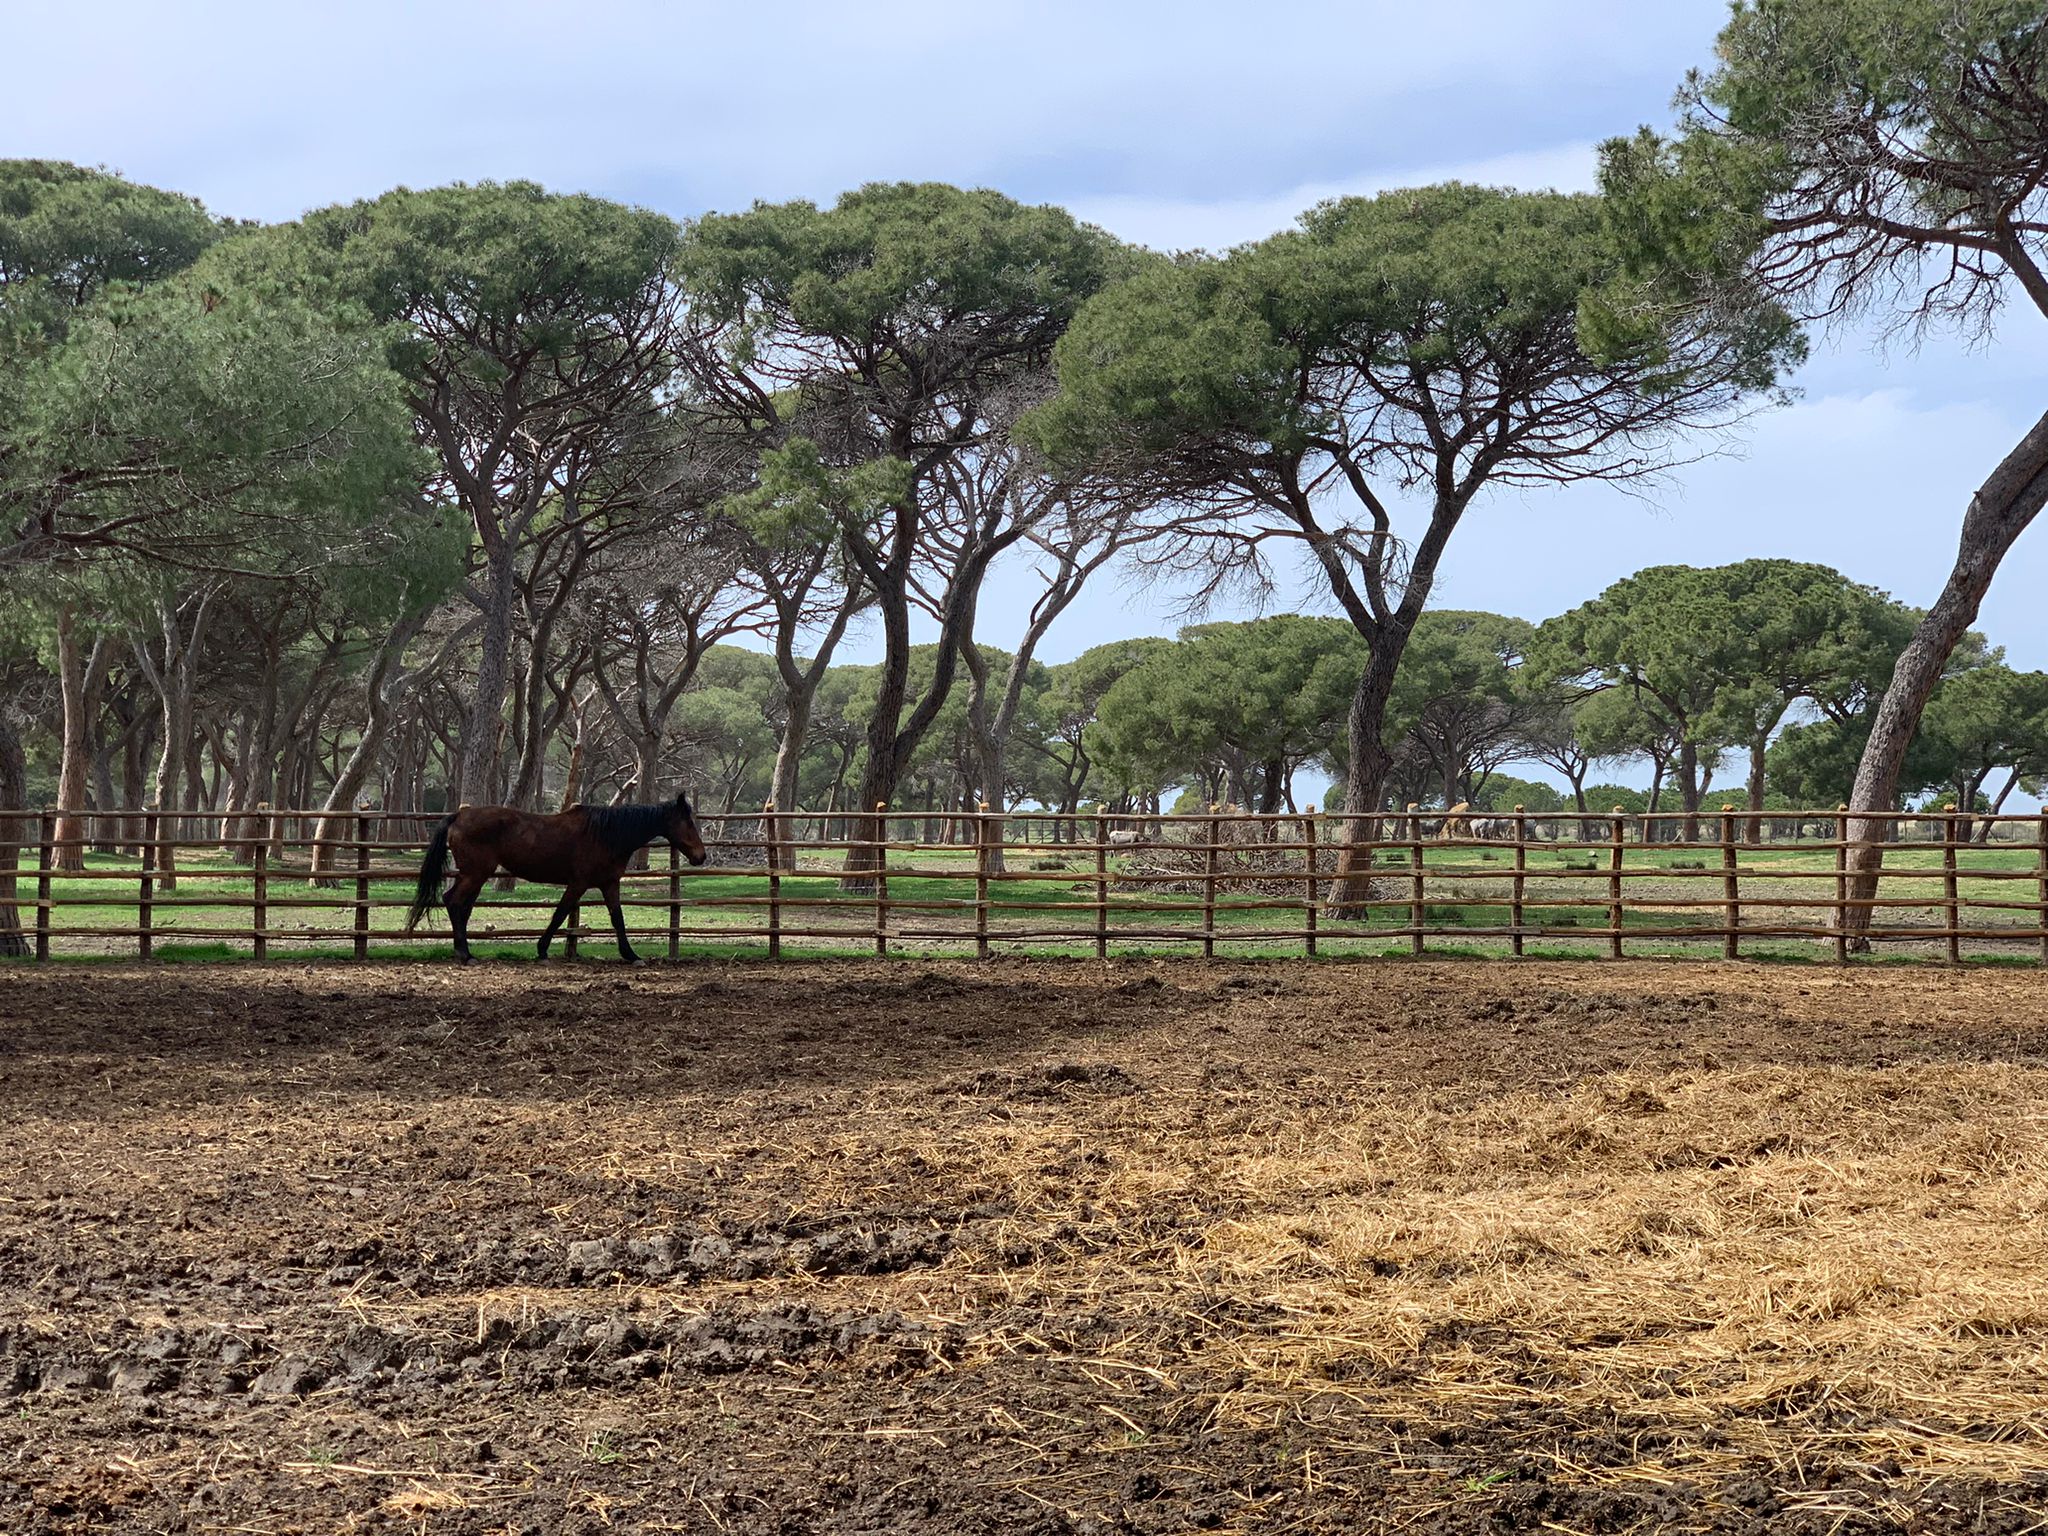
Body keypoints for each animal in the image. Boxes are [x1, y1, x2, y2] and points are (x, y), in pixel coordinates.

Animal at [407, 794, 712, 962]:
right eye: (687, 822)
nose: (701, 855)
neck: (606, 835)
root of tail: (460, 815)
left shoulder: (609, 884)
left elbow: (618, 918)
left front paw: (631, 955)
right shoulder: (578, 884)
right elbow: (560, 913)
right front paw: (542, 950)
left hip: (476, 876)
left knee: (462, 907)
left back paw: (465, 952)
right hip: (475, 874)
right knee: (453, 901)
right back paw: (465, 955)